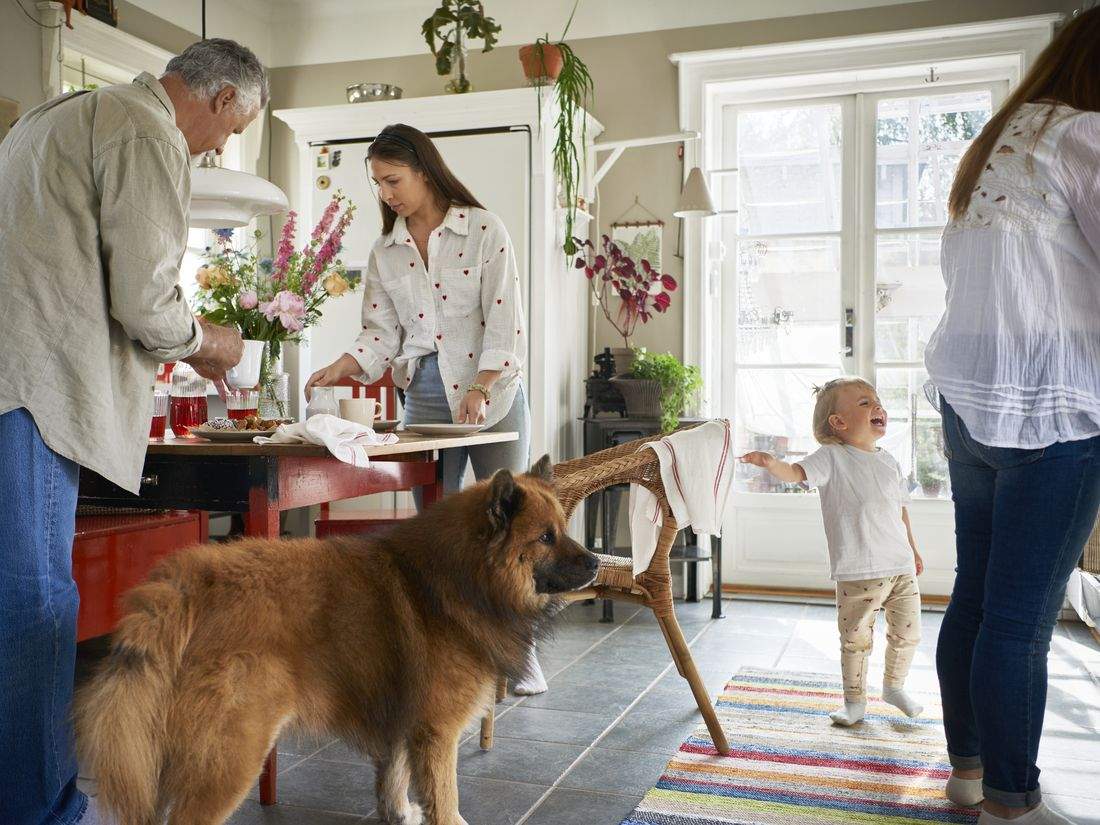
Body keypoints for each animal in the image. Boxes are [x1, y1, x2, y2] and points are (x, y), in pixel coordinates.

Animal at [76, 459, 598, 825]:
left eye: (562, 530)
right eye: (546, 537)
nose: (596, 562)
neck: (460, 578)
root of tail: (190, 583)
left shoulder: (401, 722)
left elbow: (394, 778)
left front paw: (398, 812)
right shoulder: (436, 732)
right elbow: (445, 799)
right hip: (231, 756)